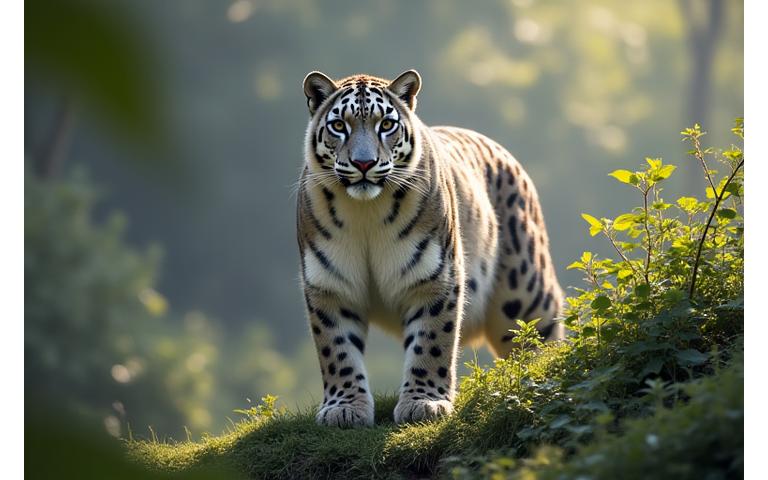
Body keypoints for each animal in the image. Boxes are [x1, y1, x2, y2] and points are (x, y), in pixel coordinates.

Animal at [297, 69, 564, 428]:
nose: (364, 163)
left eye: (386, 124)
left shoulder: (436, 275)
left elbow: (432, 342)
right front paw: (344, 407)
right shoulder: (328, 283)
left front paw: (424, 403)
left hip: (526, 294)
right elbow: (336, 349)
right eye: (339, 125)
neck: (366, 214)